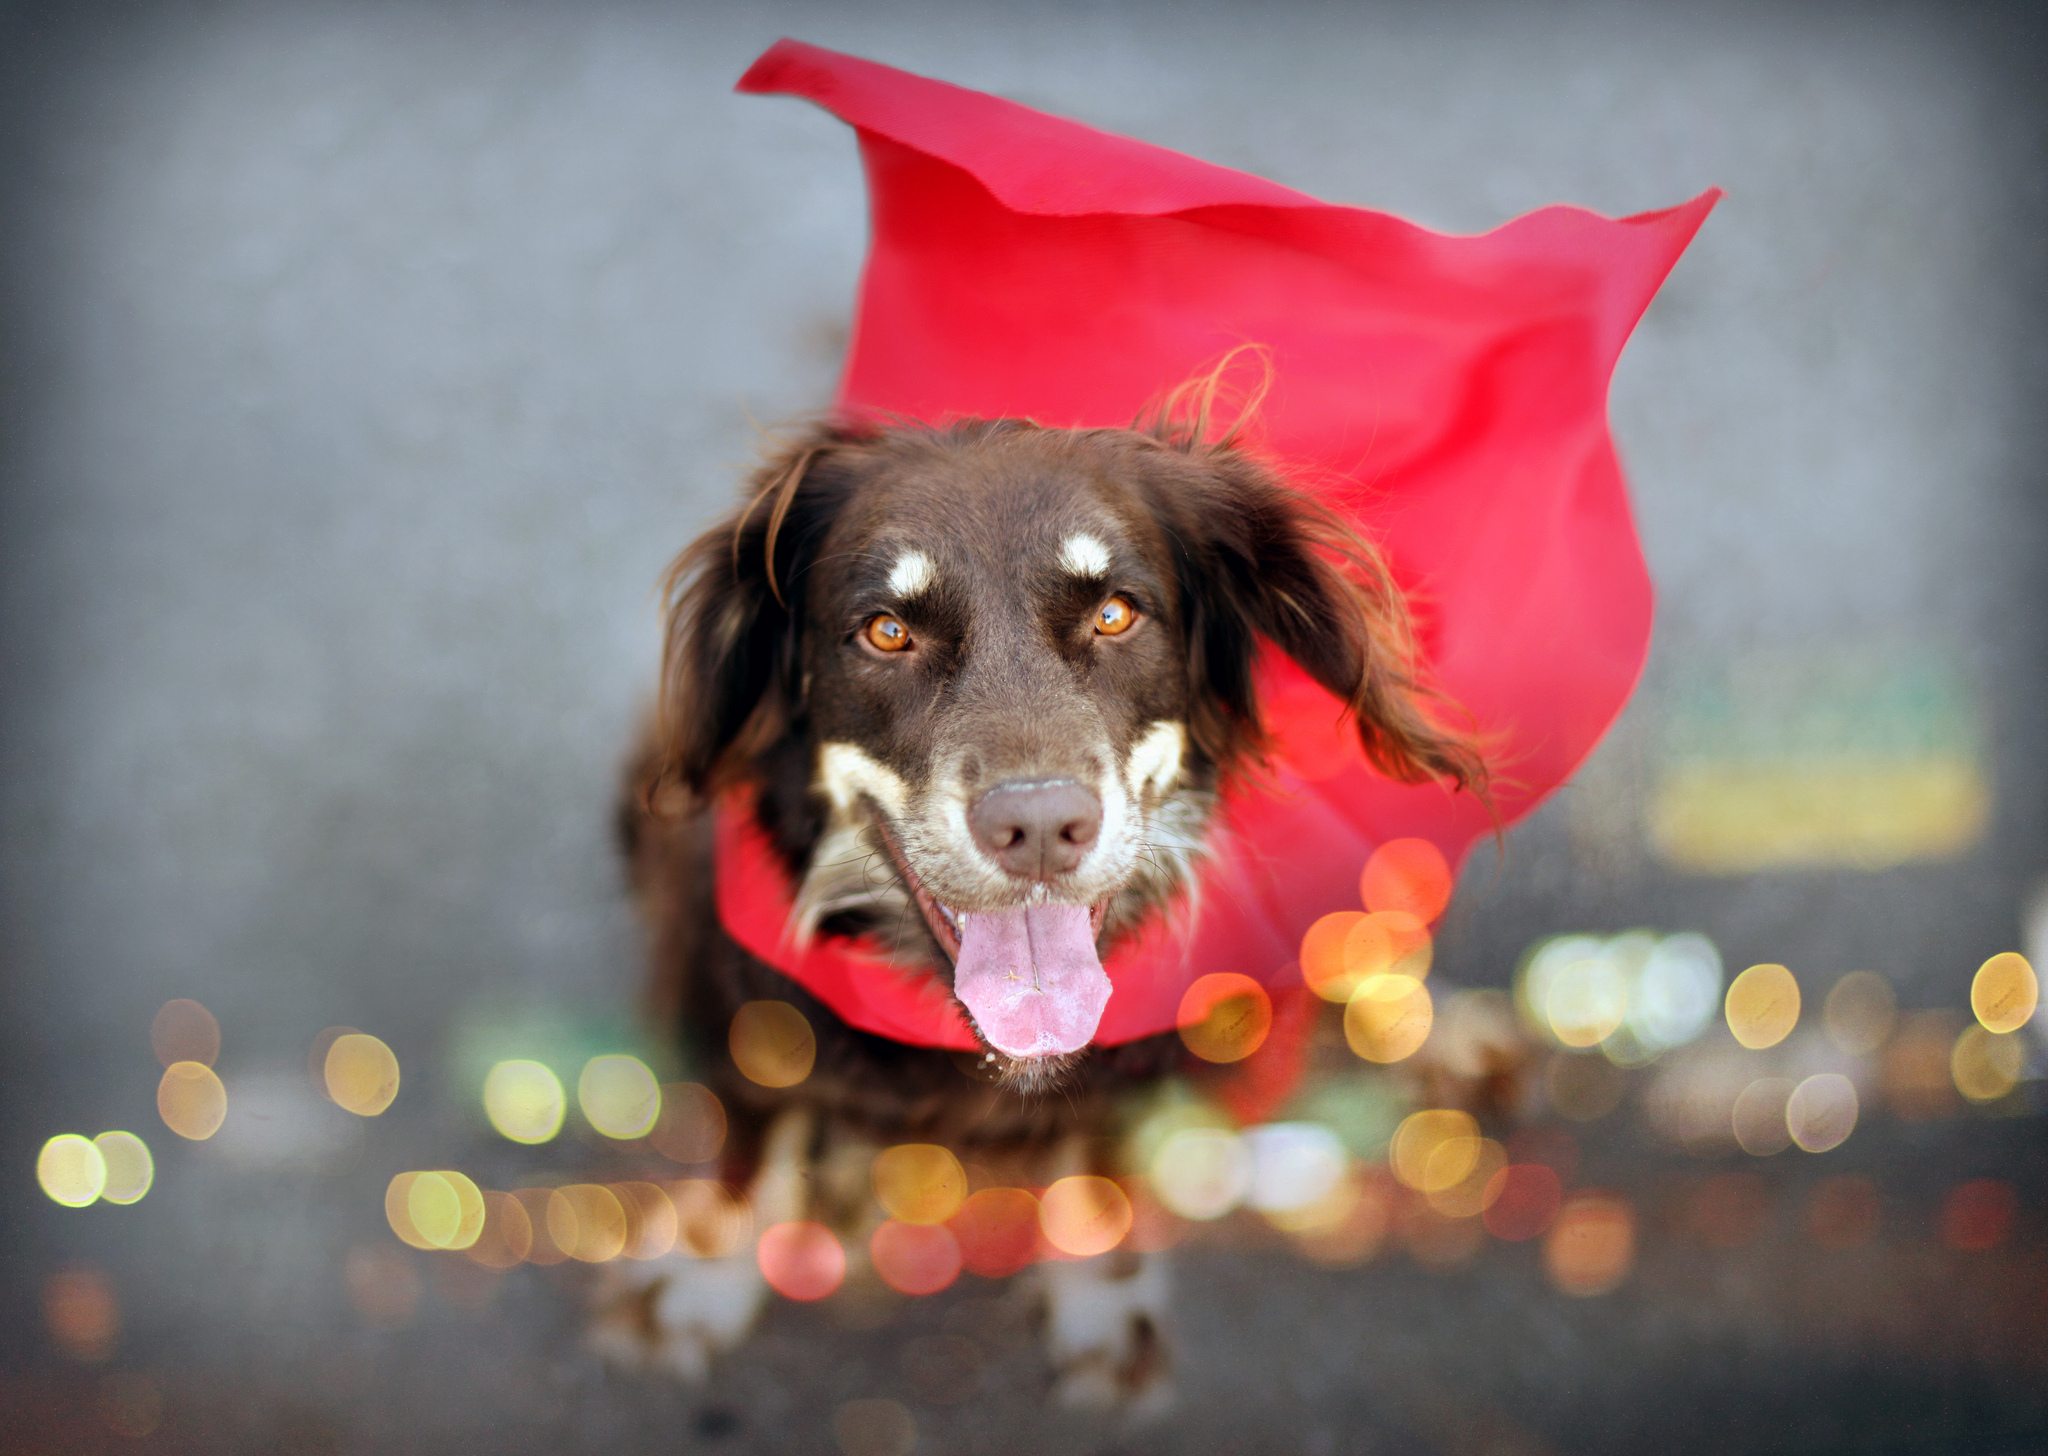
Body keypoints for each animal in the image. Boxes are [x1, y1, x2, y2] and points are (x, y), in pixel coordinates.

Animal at [598, 409, 1482, 1408]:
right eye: (887, 630)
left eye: (1115, 613)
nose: (1040, 827)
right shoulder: (745, 1008)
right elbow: (751, 1144)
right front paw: (703, 1272)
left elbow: (1101, 1156)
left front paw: (1100, 1289)